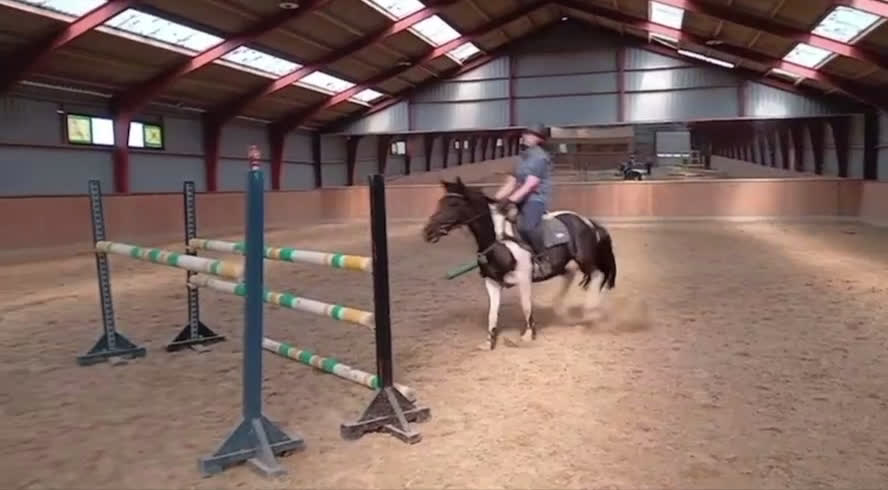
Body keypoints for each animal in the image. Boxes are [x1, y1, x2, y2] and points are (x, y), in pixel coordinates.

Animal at [422, 178, 617, 350]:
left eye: (454, 204)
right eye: (441, 202)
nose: (428, 231)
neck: (499, 241)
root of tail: (588, 222)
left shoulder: (524, 278)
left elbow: (526, 306)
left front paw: (528, 335)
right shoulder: (492, 282)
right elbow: (492, 313)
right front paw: (489, 342)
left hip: (584, 259)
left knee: (597, 275)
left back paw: (590, 311)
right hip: (564, 265)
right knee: (571, 276)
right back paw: (560, 309)